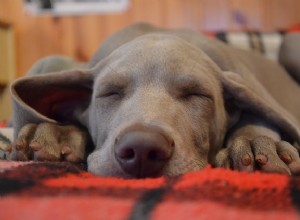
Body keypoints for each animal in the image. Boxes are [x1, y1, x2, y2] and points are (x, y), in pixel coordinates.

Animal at [5, 23, 300, 178]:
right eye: (110, 93)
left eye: (197, 94)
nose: (142, 149)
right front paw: (56, 134)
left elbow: (258, 115)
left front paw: (255, 144)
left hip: (290, 44)